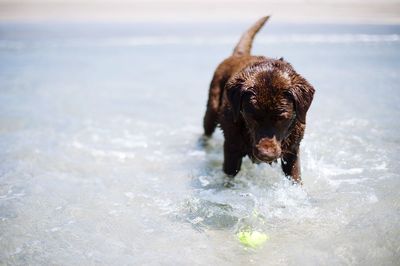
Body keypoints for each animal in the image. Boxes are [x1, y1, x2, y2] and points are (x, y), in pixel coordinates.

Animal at [205, 16, 314, 183]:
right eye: (251, 116)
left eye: (282, 118)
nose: (266, 155)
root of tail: (238, 55)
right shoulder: (231, 147)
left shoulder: (292, 150)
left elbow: (295, 178)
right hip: (212, 106)